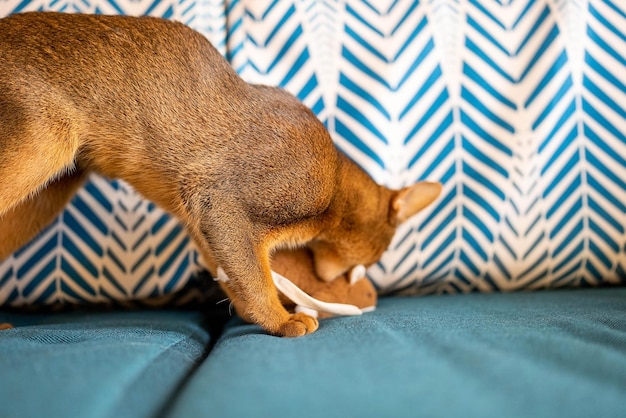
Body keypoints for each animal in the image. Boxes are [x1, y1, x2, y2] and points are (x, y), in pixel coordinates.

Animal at [0, 12, 438, 336]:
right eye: (372, 260)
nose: (354, 280)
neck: (336, 186)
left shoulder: (201, 221)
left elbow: (234, 276)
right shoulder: (223, 200)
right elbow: (256, 278)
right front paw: (281, 320)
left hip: (45, 195)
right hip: (41, 146)